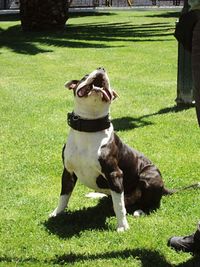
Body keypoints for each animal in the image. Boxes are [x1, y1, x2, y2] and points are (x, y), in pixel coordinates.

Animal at [50, 67, 200, 232]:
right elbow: (64, 195)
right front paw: (57, 213)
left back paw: (140, 211)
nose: (101, 68)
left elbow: (119, 206)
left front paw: (122, 226)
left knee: (148, 204)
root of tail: (164, 187)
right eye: (85, 76)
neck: (89, 128)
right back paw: (98, 195)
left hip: (149, 176)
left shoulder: (114, 173)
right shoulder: (68, 172)